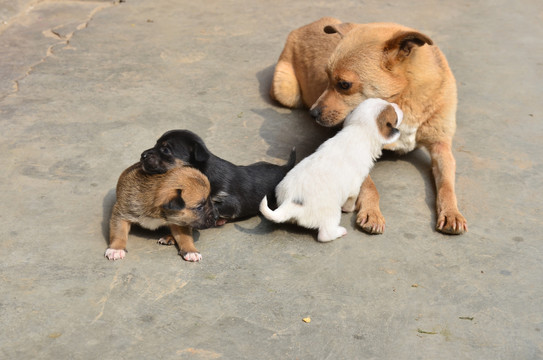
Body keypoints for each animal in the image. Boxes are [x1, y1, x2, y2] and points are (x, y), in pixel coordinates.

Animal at [140, 129, 294, 225]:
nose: (142, 155)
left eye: (165, 150)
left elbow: (213, 205)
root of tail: (285, 168)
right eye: (155, 144)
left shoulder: (231, 202)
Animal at [260, 97, 404, 240]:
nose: (397, 105)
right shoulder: (355, 187)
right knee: (325, 234)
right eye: (396, 117)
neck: (358, 130)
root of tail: (291, 202)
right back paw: (340, 231)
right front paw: (350, 209)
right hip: (332, 214)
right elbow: (352, 199)